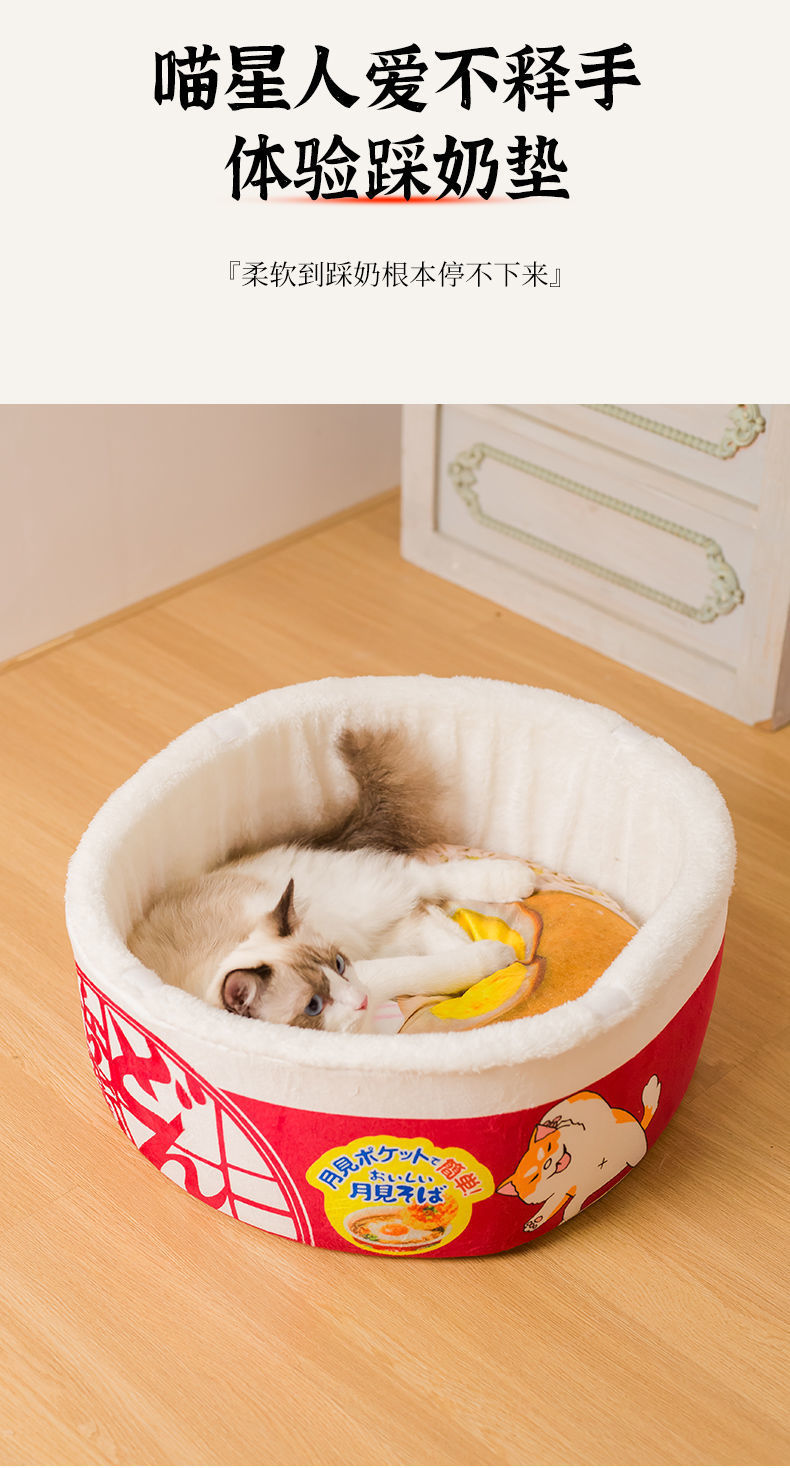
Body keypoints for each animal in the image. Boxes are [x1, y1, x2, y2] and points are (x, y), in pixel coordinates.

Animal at [128, 726, 536, 1034]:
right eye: (313, 1005)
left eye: (338, 965)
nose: (362, 999)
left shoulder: (368, 971)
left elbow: (435, 967)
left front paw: (496, 959)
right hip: (375, 931)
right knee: (421, 913)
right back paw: (463, 932)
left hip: (355, 902)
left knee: (421, 879)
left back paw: (518, 882)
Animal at [496, 1075, 662, 1230]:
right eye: (534, 1178)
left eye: (549, 1147)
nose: (548, 1163)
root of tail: (638, 1124)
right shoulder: (560, 1191)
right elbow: (550, 1207)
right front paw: (535, 1222)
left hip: (634, 1140)